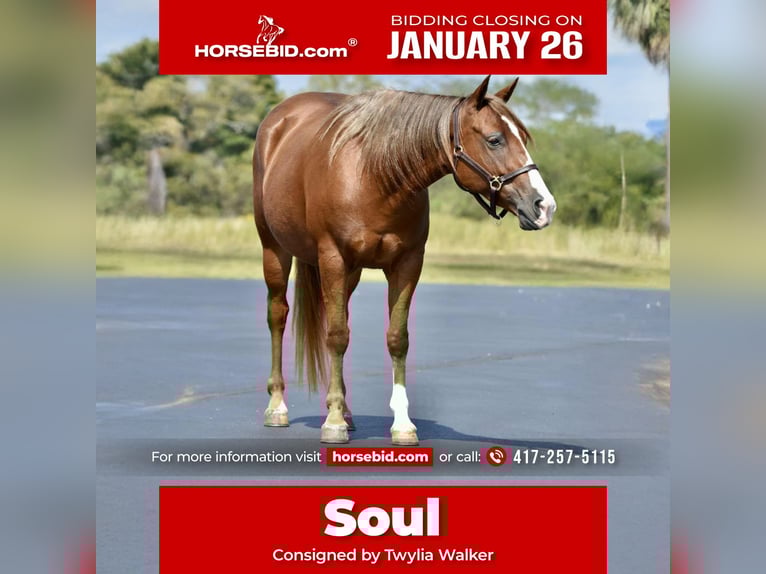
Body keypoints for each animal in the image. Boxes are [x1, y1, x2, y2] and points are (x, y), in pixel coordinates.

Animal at [252, 76, 556, 445]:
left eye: (523, 139)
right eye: (495, 140)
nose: (544, 206)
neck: (374, 177)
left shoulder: (407, 264)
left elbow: (397, 339)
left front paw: (401, 424)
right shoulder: (333, 258)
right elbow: (337, 336)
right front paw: (334, 423)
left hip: (350, 273)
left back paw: (346, 411)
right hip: (275, 250)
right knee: (279, 317)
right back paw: (278, 406)